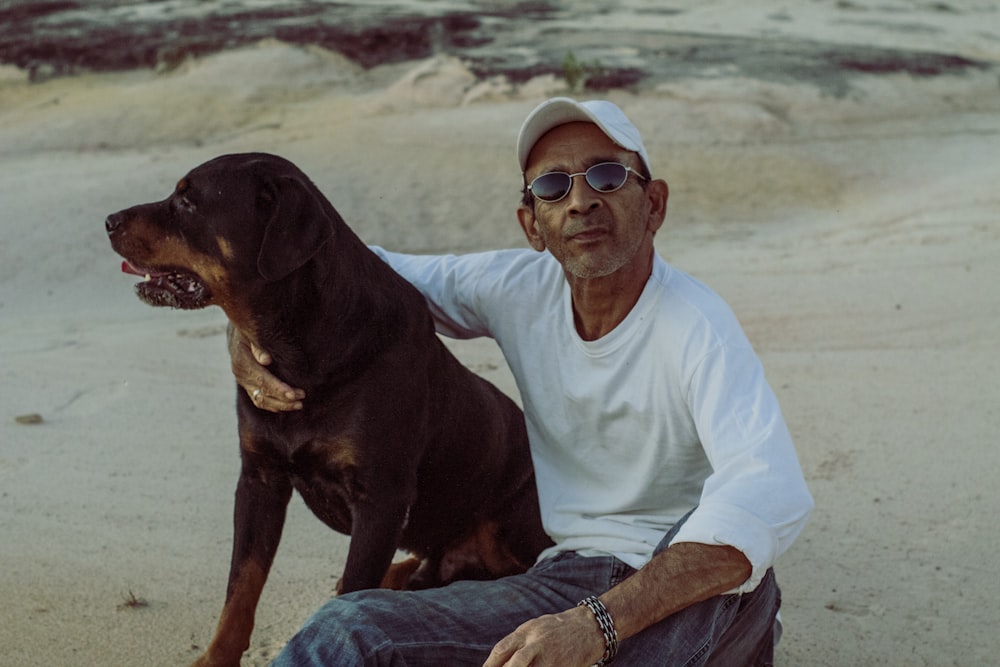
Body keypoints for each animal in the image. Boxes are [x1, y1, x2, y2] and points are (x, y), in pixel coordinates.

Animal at [107, 153, 556, 667]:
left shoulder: (381, 498)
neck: (298, 343)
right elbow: (241, 585)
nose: (109, 221)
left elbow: (353, 587)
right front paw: (217, 655)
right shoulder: (259, 478)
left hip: (506, 526)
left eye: (188, 201)